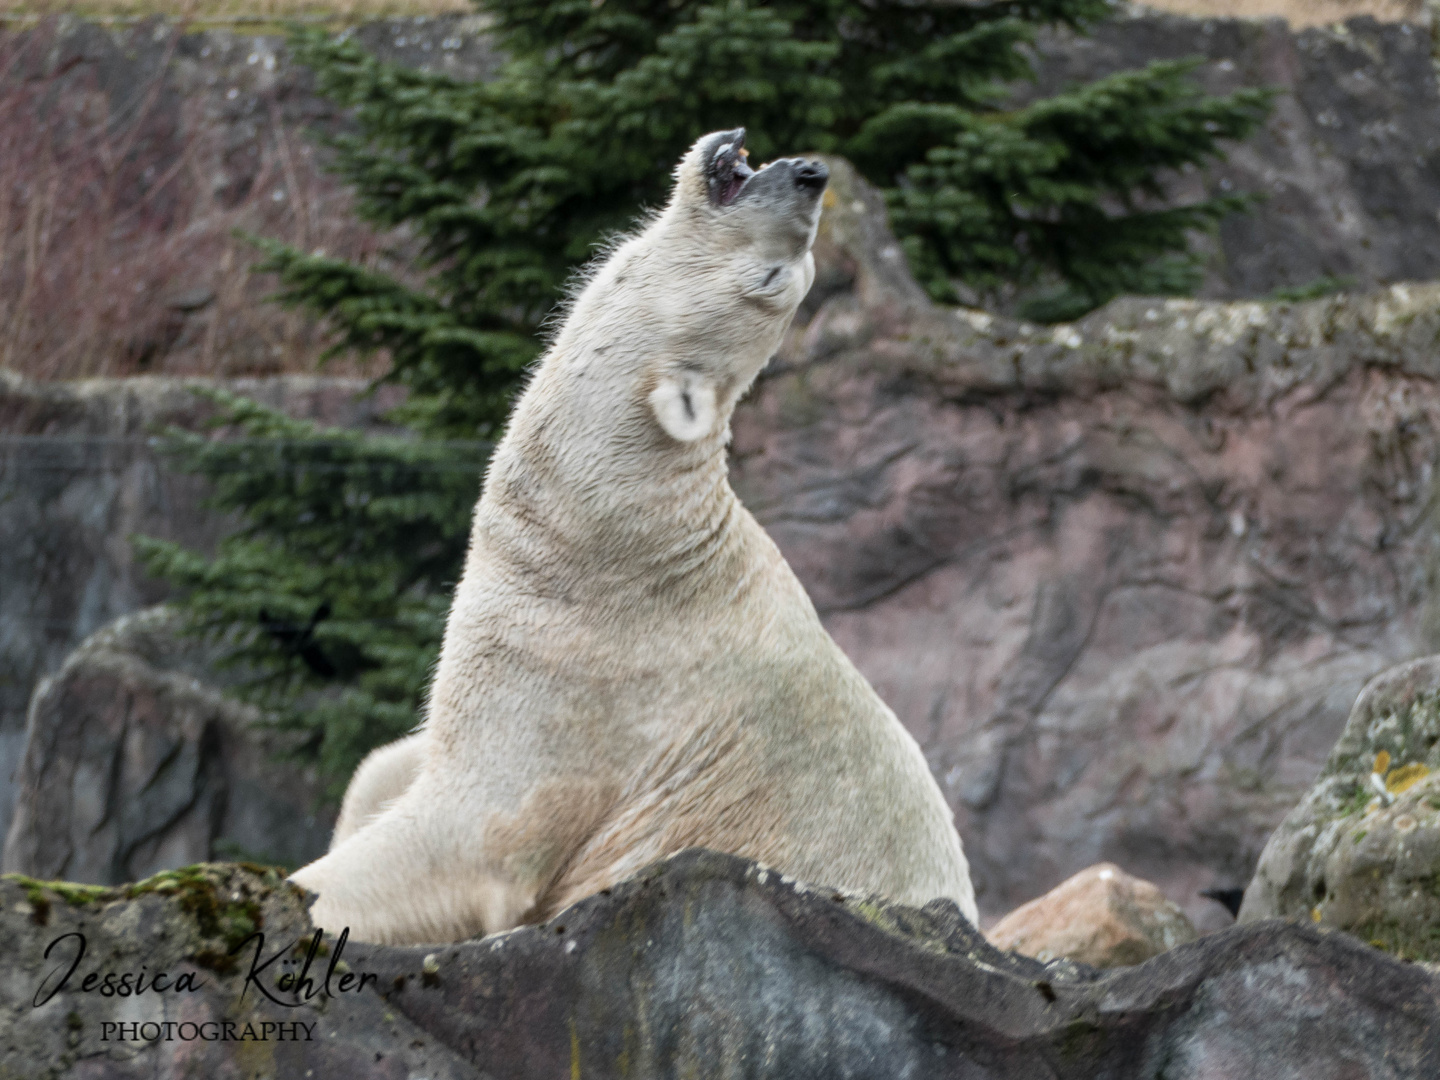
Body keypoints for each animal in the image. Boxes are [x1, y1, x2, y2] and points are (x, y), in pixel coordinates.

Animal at [286, 131, 973, 944]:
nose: (813, 174)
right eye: (796, 276)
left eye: (775, 279)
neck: (616, 538)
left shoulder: (583, 677)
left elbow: (464, 837)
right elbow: (388, 764)